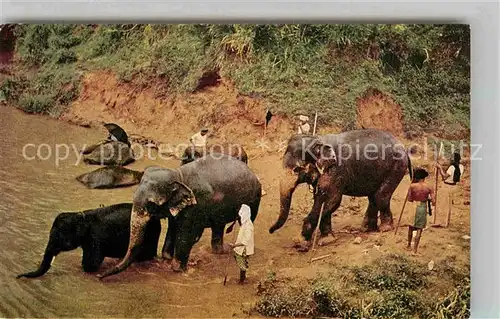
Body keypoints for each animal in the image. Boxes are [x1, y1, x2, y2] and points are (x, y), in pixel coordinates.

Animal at [15, 204, 160, 278]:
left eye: (58, 238)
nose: (18, 276)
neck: (80, 215)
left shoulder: (95, 238)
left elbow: (91, 264)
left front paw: (85, 269)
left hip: (150, 235)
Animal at [95, 155, 264, 280]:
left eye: (151, 204)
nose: (99, 276)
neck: (177, 175)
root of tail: (252, 172)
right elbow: (173, 227)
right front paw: (166, 259)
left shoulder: (196, 204)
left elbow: (185, 233)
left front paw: (176, 269)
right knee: (218, 225)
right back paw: (219, 252)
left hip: (254, 199)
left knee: (246, 222)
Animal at [268, 129, 412, 251]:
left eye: (296, 170)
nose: (270, 231)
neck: (317, 139)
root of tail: (403, 147)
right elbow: (323, 199)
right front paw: (326, 240)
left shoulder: (335, 170)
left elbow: (331, 200)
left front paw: (300, 243)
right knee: (373, 197)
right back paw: (366, 229)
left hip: (396, 167)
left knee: (380, 196)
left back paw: (384, 229)